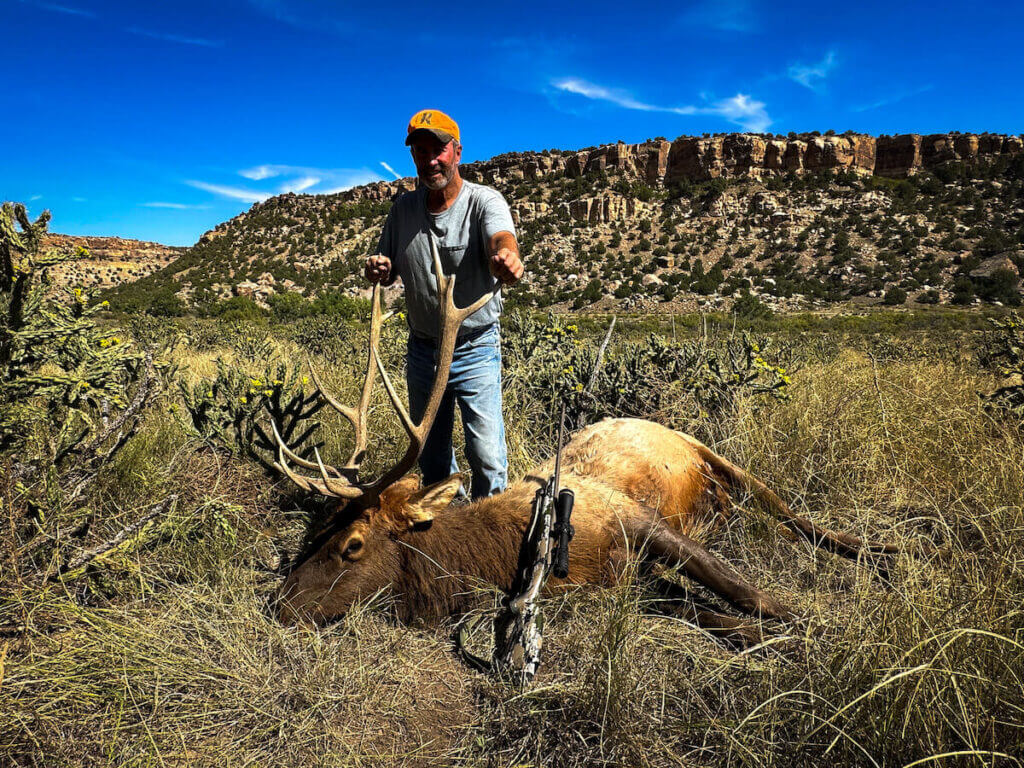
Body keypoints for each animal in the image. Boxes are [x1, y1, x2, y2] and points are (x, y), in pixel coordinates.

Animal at [274, 242, 904, 648]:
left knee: (798, 518)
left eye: (352, 545)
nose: (279, 605)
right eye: (311, 535)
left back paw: (888, 551)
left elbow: (747, 593)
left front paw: (810, 627)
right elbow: (707, 613)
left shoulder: (639, 522)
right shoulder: (622, 580)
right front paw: (764, 639)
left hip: (723, 459)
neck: (500, 555)